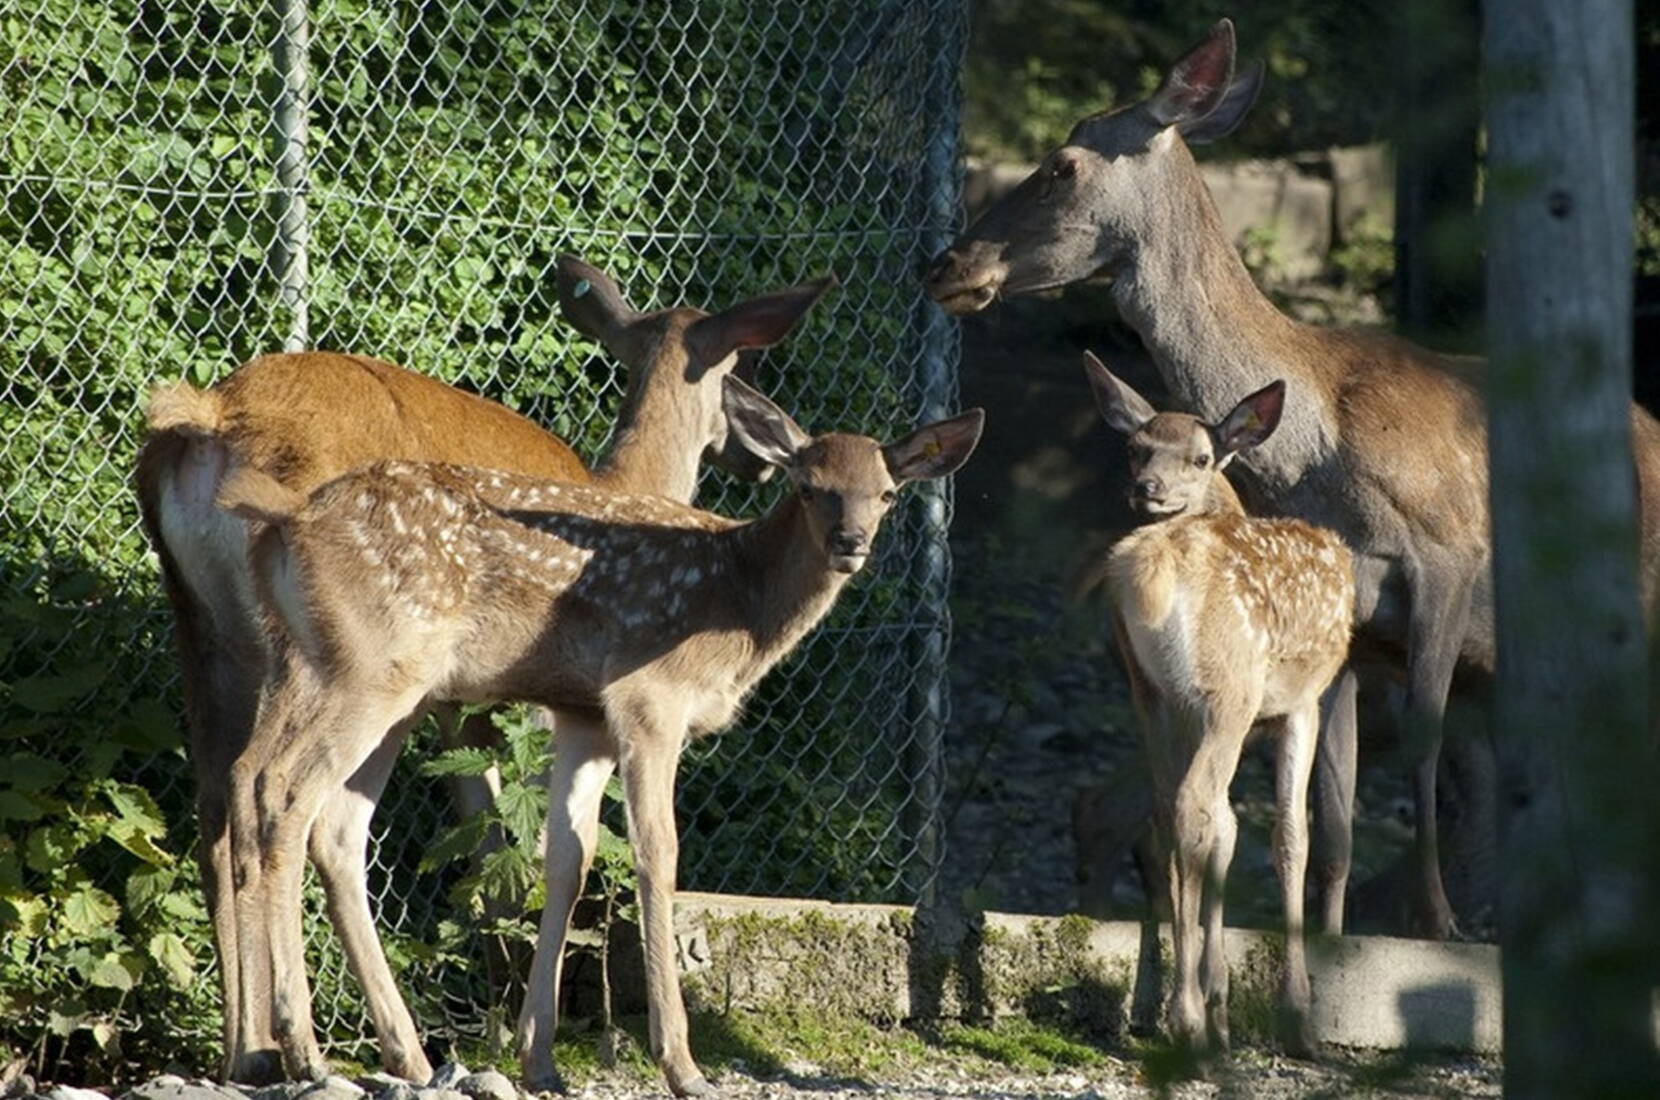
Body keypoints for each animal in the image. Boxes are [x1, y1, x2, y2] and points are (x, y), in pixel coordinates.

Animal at [132, 255, 830, 1081]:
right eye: (740, 370)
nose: (775, 445)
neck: (626, 485)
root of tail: (207, 419)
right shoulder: (508, 702)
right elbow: (511, 849)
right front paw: (516, 1030)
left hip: (209, 637)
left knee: (225, 799)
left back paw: (251, 1050)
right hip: (330, 656)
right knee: (284, 800)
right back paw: (310, 1044)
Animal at [212, 376, 976, 1095]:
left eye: (885, 493)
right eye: (811, 487)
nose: (851, 543)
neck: (740, 604)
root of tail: (288, 521)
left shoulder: (585, 716)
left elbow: (567, 859)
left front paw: (541, 1059)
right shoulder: (649, 698)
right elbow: (656, 854)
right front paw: (681, 1064)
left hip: (333, 669)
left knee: (308, 808)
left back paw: (380, 1053)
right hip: (372, 668)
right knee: (286, 792)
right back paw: (303, 1048)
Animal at [922, 15, 1660, 935]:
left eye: (1062, 165)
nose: (946, 266)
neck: (1317, 450)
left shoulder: (1448, 554)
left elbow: (1417, 757)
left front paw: (1439, 925)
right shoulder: (1351, 634)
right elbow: (1332, 808)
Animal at [1075, 355, 1361, 1061]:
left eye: (1200, 457)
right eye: (1135, 448)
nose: (1146, 488)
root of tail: (1151, 568)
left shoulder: (1188, 705)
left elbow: (1232, 833)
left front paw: (1223, 1003)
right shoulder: (1299, 701)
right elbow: (1289, 838)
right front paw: (1297, 1017)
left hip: (1152, 693)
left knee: (1168, 811)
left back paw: (1188, 1017)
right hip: (1228, 688)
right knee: (1194, 806)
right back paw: (1187, 1023)